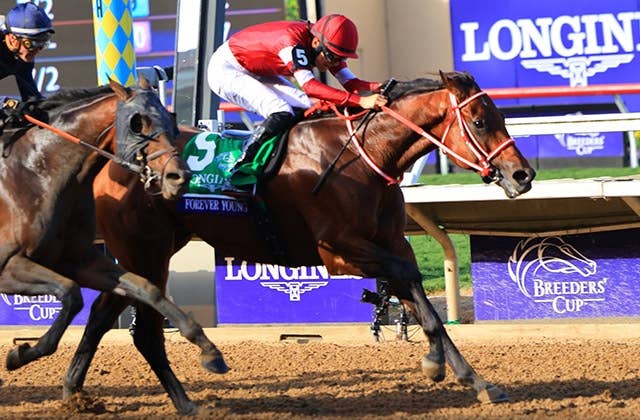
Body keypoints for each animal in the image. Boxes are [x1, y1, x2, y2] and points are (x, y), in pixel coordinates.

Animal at [0, 79, 229, 401]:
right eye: (138, 123)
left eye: (170, 120)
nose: (178, 176)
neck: (37, 173)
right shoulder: (9, 267)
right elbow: (71, 294)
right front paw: (20, 354)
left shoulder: (78, 259)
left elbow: (146, 289)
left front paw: (209, 350)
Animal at [69, 70, 536, 414]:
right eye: (480, 121)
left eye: (500, 117)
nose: (523, 175)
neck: (366, 155)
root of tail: (115, 159)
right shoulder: (339, 251)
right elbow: (408, 282)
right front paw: (436, 364)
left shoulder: (391, 243)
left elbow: (422, 304)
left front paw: (474, 379)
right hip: (145, 251)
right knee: (139, 328)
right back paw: (180, 399)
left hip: (150, 250)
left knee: (102, 312)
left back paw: (76, 391)